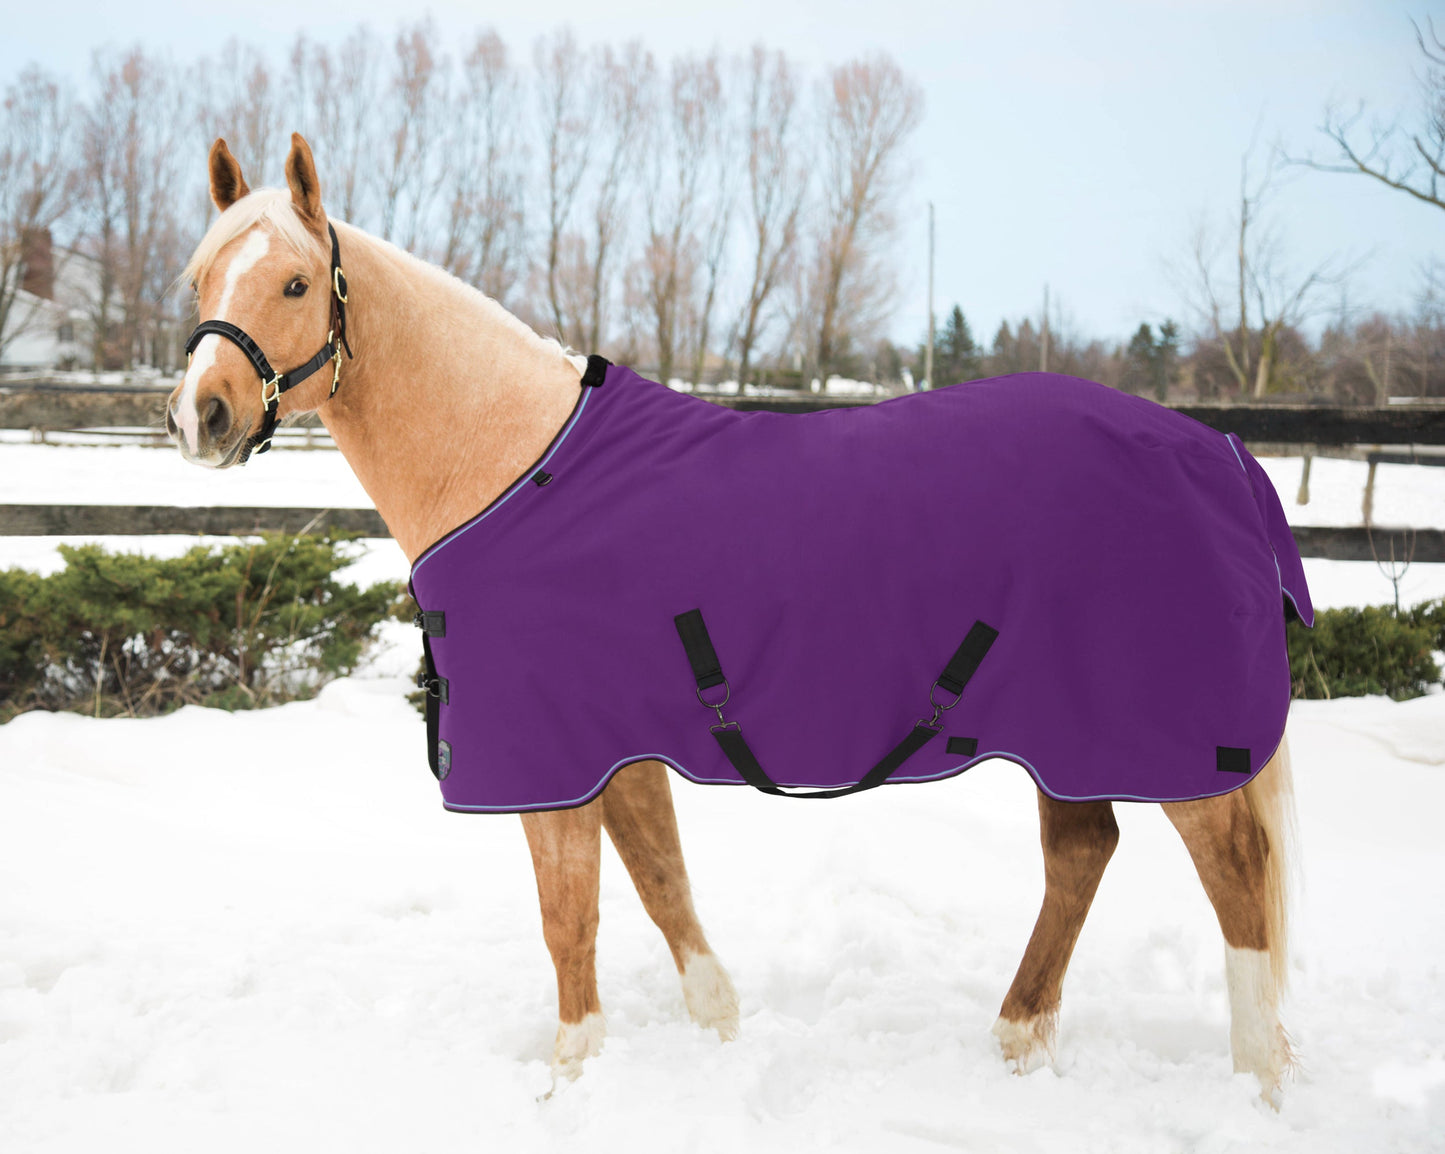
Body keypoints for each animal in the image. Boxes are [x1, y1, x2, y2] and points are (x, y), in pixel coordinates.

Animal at [166, 132, 1298, 1103]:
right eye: (198, 279)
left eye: (296, 282)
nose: (200, 416)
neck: (515, 467)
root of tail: (1219, 455)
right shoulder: (614, 746)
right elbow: (660, 882)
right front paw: (716, 1028)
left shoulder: (550, 758)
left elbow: (568, 915)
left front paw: (569, 1077)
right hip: (1065, 734)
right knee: (1081, 851)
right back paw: (1017, 1039)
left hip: (1165, 738)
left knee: (1234, 876)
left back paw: (1257, 1081)